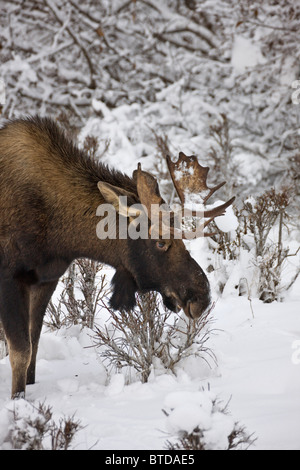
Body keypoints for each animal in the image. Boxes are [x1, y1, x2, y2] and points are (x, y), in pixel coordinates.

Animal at [0, 115, 234, 398]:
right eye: (161, 242)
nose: (202, 296)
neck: (59, 235)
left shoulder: (47, 278)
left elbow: (33, 343)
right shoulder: (10, 277)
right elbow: (20, 351)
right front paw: (17, 400)